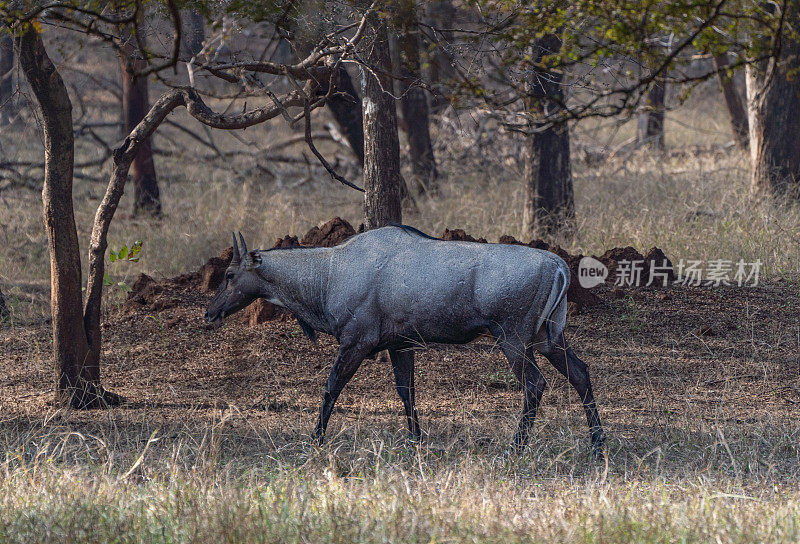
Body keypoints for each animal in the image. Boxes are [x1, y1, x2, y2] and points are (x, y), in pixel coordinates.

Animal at [203, 224, 604, 454]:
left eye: (230, 275)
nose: (209, 314)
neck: (328, 275)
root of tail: (560, 267)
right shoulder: (400, 344)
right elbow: (406, 391)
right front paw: (417, 441)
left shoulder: (358, 340)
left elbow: (331, 387)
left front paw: (315, 439)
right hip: (547, 337)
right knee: (581, 373)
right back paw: (597, 444)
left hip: (513, 337)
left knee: (535, 384)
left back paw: (516, 447)